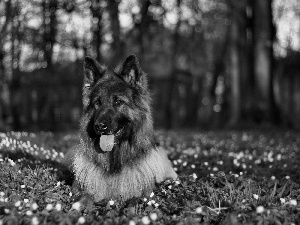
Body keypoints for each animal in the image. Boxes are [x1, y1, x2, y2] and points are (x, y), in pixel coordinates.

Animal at [63, 54, 176, 202]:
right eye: (97, 102)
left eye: (118, 101)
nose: (99, 126)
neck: (114, 159)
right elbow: (83, 200)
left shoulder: (144, 194)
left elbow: (134, 201)